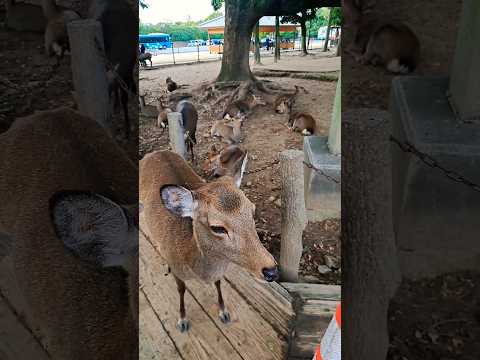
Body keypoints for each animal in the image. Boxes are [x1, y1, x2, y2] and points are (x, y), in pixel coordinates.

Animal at [139, 149, 280, 332]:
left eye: (253, 211)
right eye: (217, 227)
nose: (271, 271)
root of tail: (154, 152)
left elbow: (218, 283)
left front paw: (223, 312)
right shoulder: (178, 270)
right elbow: (181, 290)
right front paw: (182, 320)